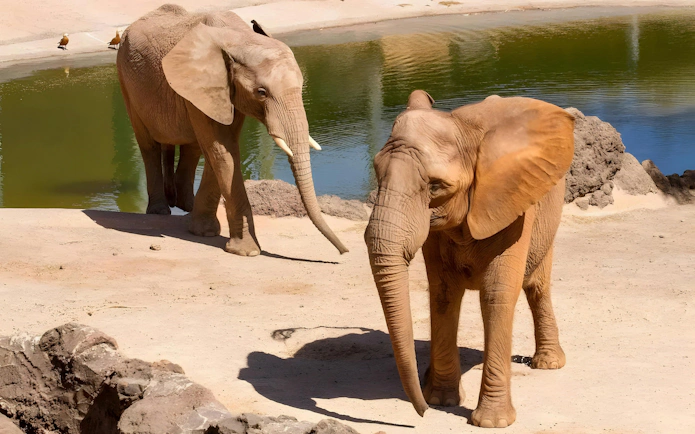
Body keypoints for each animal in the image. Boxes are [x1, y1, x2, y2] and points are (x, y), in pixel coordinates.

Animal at [116, 4, 348, 256]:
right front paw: (248, 251)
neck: (241, 39)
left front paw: (204, 232)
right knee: (148, 145)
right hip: (126, 79)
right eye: (261, 92)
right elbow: (222, 151)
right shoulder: (202, 84)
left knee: (193, 147)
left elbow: (219, 151)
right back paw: (160, 211)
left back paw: (184, 206)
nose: (343, 252)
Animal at [364, 90, 575, 428]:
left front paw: (491, 423)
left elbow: (496, 295)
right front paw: (440, 400)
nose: (421, 413)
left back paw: (548, 363)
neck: (462, 126)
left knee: (537, 287)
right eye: (376, 172)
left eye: (436, 186)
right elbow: (443, 293)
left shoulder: (513, 205)